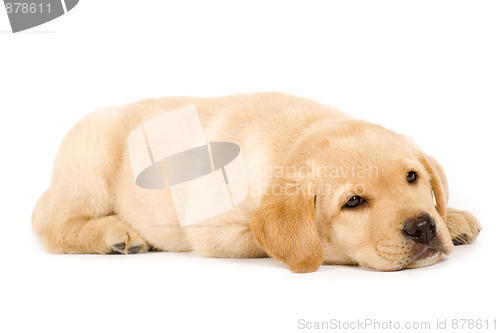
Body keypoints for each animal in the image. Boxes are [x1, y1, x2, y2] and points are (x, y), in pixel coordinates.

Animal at [32, 92, 480, 272]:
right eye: (353, 202)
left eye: (412, 177)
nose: (423, 228)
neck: (297, 138)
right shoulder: (215, 231)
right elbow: (268, 240)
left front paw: (452, 217)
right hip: (90, 152)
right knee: (57, 227)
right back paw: (114, 235)